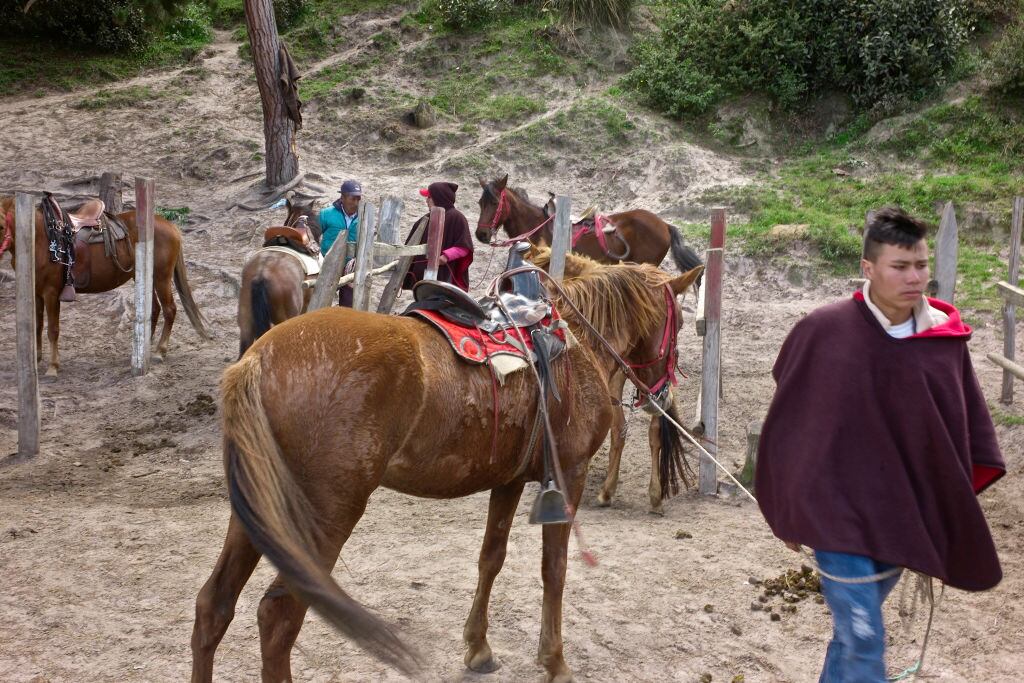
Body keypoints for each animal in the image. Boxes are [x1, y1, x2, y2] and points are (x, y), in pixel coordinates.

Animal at [0, 195, 210, 376]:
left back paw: (159, 351)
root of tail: (171, 226)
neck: (42, 239)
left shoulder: (51, 293)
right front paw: (36, 360)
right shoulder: (37, 292)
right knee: (154, 309)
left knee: (169, 309)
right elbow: (37, 326)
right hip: (144, 276)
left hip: (161, 277)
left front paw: (53, 367)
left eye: (2, 226)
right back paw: (143, 350)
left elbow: (53, 329)